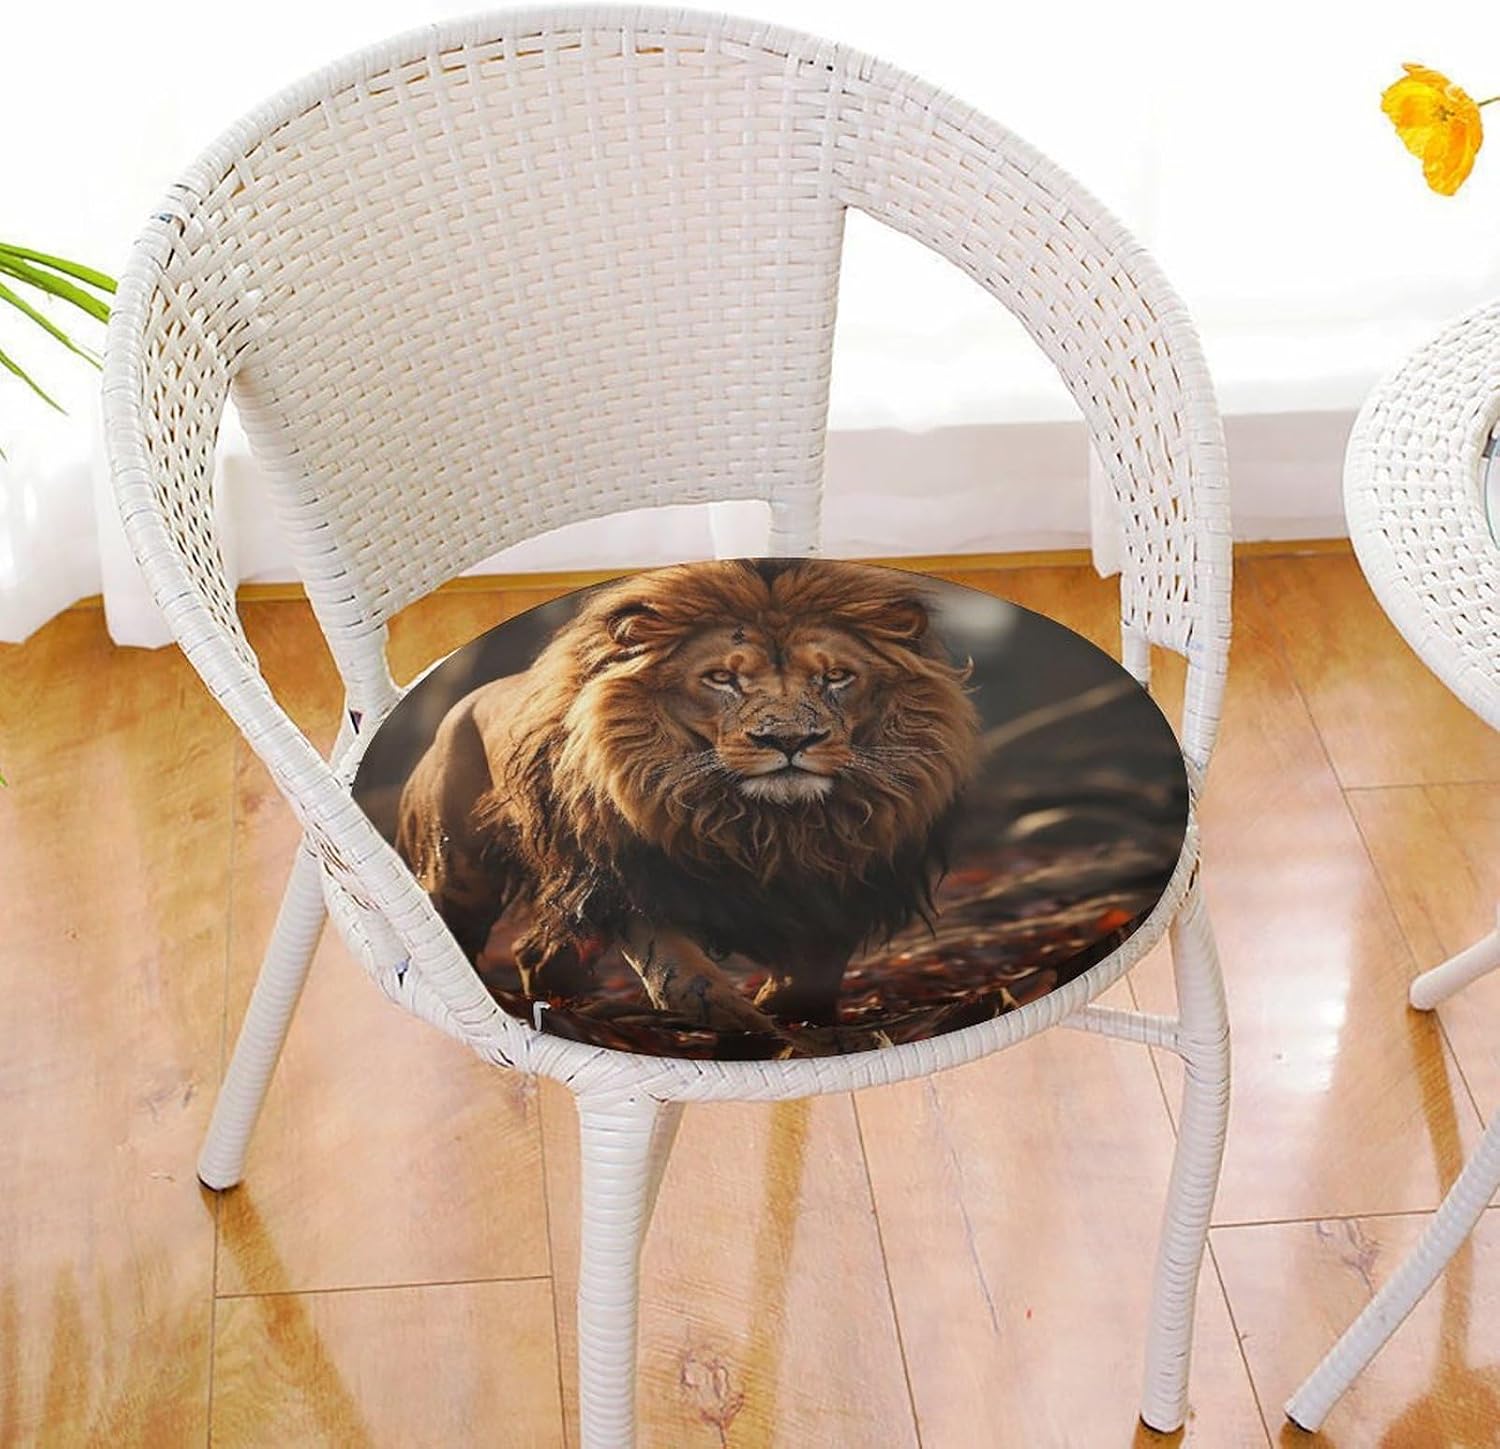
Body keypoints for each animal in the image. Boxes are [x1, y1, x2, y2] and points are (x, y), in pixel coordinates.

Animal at [395, 558, 980, 1044]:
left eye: (835, 676)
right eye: (721, 678)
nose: (789, 740)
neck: (772, 827)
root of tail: (461, 705)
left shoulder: (846, 881)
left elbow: (815, 965)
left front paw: (791, 1019)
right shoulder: (632, 875)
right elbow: (678, 969)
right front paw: (738, 1021)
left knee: (537, 953)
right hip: (460, 872)